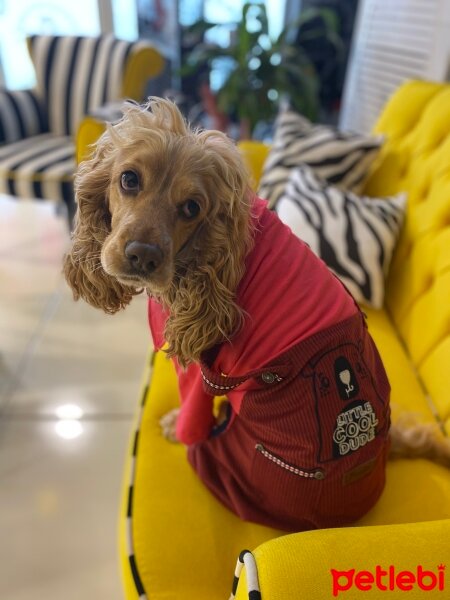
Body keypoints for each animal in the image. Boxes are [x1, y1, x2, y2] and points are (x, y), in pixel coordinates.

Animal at [63, 99, 450, 536]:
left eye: (192, 208)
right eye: (128, 179)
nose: (142, 257)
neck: (216, 256)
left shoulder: (198, 371)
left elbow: (193, 411)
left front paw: (178, 428)